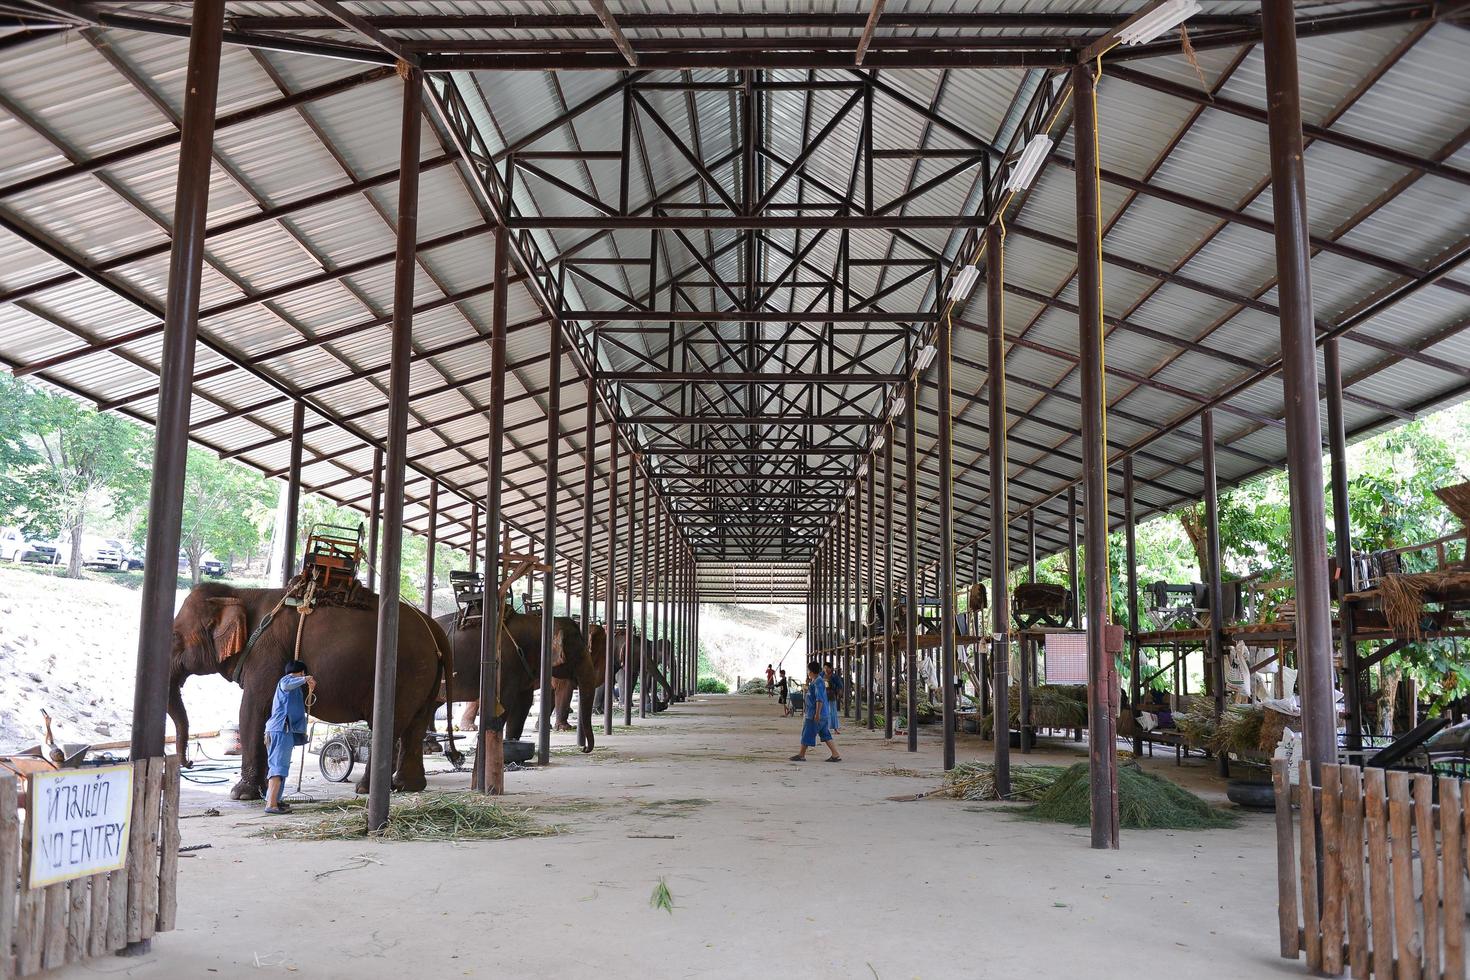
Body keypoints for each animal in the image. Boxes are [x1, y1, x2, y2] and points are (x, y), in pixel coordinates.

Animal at [168, 581, 449, 799]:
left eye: (174, 637)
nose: (189, 762)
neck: (240, 593)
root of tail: (434, 629)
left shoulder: (266, 654)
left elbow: (252, 710)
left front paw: (241, 794)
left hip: (405, 672)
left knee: (392, 726)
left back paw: (365, 789)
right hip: (425, 677)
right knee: (416, 726)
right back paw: (408, 787)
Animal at [435, 605, 596, 758]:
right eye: (580, 654)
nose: (584, 749)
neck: (539, 624)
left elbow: (523, 704)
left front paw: (510, 743)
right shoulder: (505, 665)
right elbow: (503, 703)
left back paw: (432, 747)